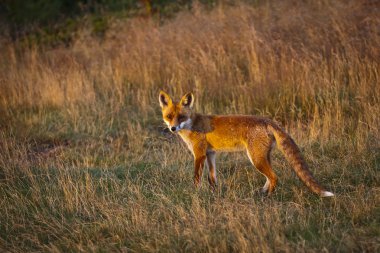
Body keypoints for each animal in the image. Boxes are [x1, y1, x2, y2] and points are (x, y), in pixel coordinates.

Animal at [159, 91, 334, 198]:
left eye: (181, 117)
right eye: (169, 116)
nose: (173, 128)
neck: (193, 124)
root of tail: (268, 120)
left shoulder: (199, 154)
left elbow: (196, 178)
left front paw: (195, 193)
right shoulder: (210, 154)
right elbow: (212, 178)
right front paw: (214, 193)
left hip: (255, 158)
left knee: (274, 177)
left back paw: (268, 197)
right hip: (263, 157)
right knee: (270, 177)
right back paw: (262, 192)